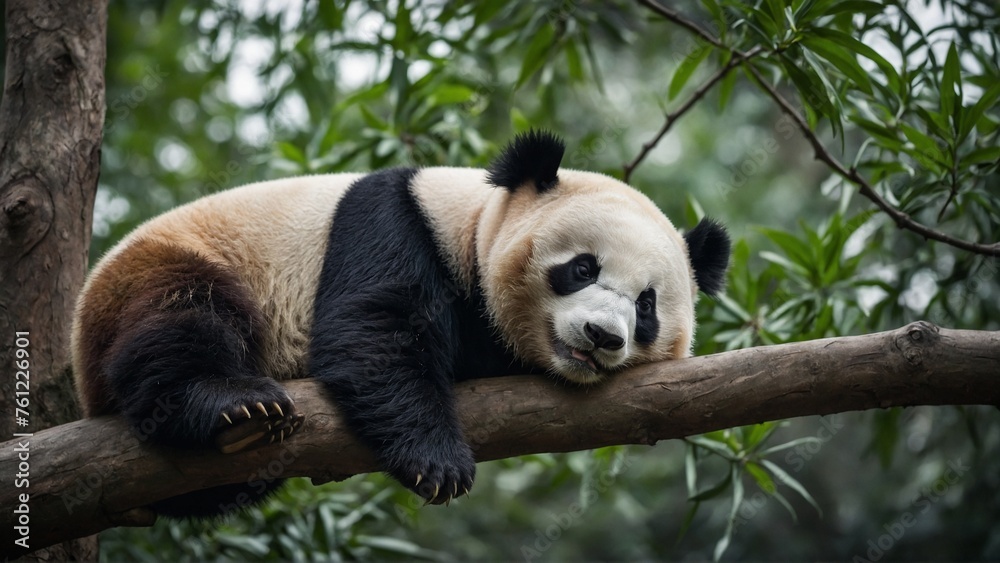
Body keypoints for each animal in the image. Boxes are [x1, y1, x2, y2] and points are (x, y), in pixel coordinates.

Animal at [71, 130, 730, 517]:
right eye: (582, 267)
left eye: (646, 307)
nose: (602, 337)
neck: (471, 221)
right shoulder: (393, 221)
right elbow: (375, 328)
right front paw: (437, 463)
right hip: (169, 267)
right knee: (180, 320)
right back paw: (235, 407)